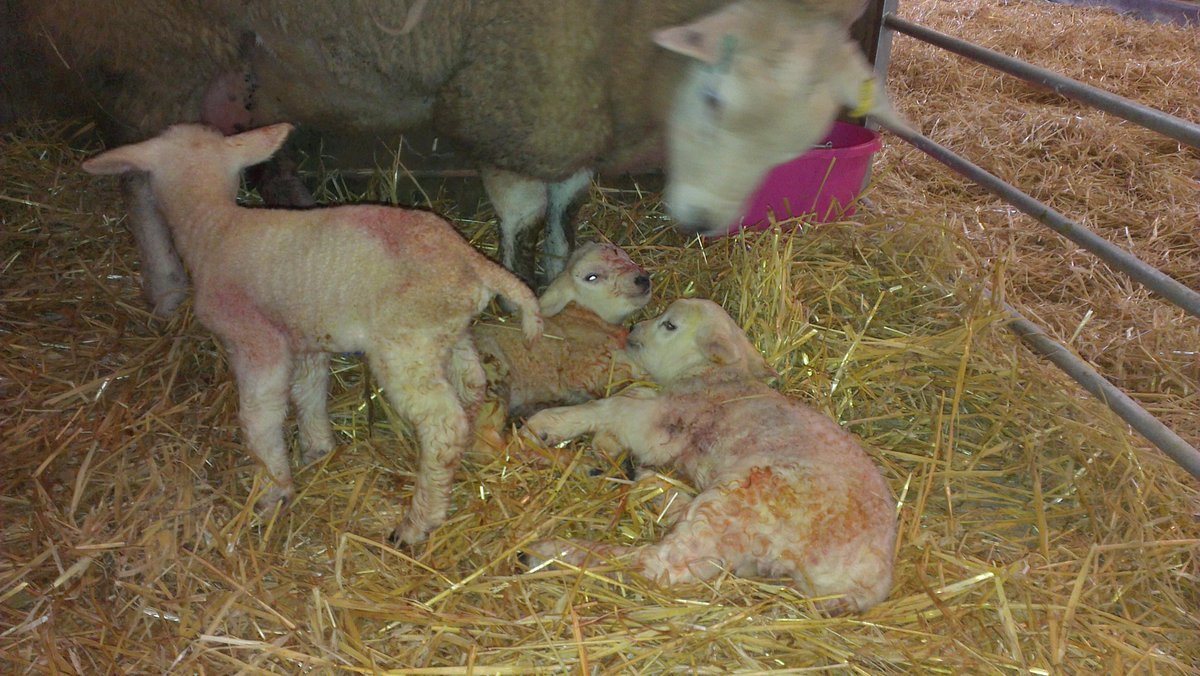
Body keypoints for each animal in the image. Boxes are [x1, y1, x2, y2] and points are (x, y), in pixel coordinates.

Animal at [16, 0, 901, 316]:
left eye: (799, 138)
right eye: (715, 99)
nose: (696, 220)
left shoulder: (571, 101)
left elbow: (567, 195)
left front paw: (559, 256)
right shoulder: (521, 91)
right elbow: (525, 203)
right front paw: (527, 270)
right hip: (151, 49)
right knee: (142, 172)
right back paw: (167, 286)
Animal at [81, 122, 543, 545]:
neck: (215, 228)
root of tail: (472, 262)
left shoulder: (257, 341)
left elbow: (260, 416)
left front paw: (273, 491)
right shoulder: (304, 335)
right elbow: (310, 391)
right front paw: (318, 449)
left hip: (406, 344)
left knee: (442, 425)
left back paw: (417, 522)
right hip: (448, 334)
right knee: (472, 386)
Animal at [471, 242, 652, 450]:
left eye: (616, 251)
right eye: (591, 277)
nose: (641, 279)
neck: (583, 317)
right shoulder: (589, 369)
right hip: (491, 384)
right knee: (490, 444)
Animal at [522, 299, 896, 613]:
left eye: (669, 325)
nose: (635, 329)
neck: (715, 377)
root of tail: (865, 586)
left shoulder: (659, 421)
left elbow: (611, 406)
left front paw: (543, 425)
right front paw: (605, 447)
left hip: (746, 496)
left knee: (658, 565)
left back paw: (549, 553)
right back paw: (649, 486)